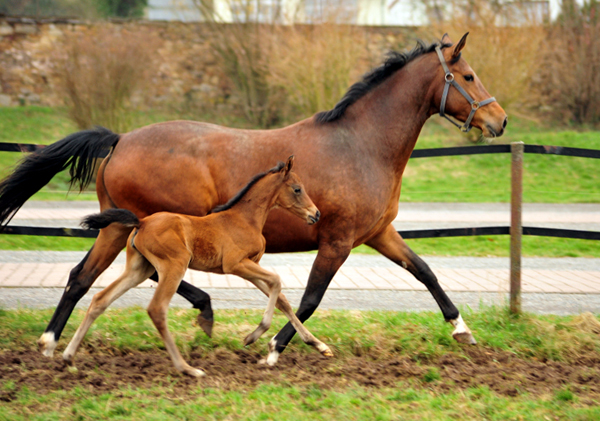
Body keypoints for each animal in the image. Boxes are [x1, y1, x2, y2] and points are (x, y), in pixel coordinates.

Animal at [62, 157, 332, 374]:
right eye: (297, 189)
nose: (316, 214)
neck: (245, 219)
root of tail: (141, 223)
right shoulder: (235, 264)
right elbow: (276, 281)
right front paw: (253, 336)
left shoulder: (250, 265)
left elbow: (282, 299)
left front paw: (319, 346)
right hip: (174, 265)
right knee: (157, 309)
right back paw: (187, 368)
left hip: (139, 269)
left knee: (101, 299)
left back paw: (68, 358)